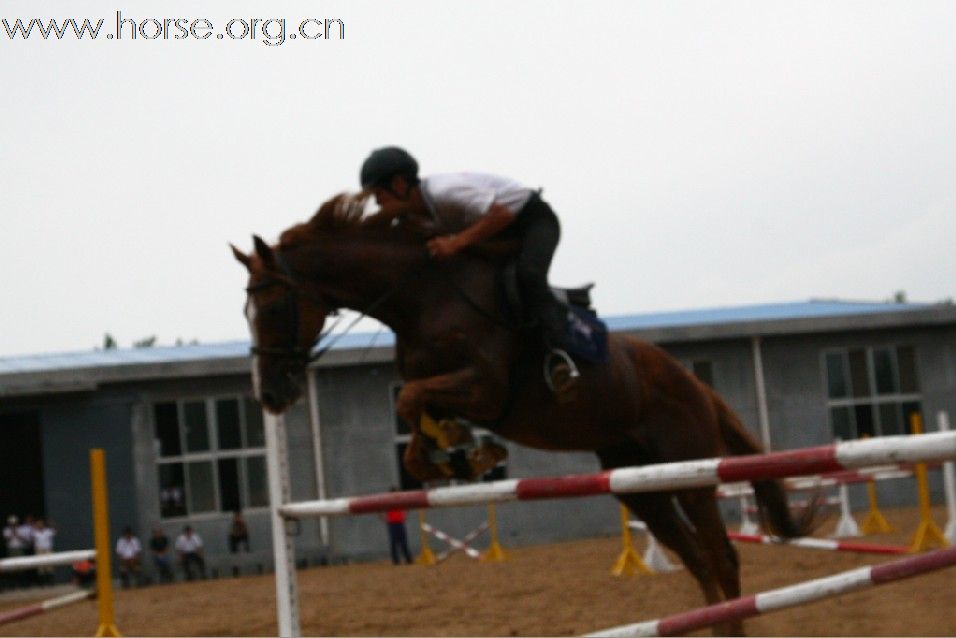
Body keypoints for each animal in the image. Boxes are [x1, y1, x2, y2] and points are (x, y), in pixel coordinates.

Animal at [235, 194, 816, 636]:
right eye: (246, 311)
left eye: (273, 307)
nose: (271, 394)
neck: (421, 296)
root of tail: (695, 383)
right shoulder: (451, 390)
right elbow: (419, 416)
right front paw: (464, 456)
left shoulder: (486, 388)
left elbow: (411, 400)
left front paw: (456, 457)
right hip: (639, 485)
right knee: (696, 558)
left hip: (691, 475)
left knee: (721, 558)